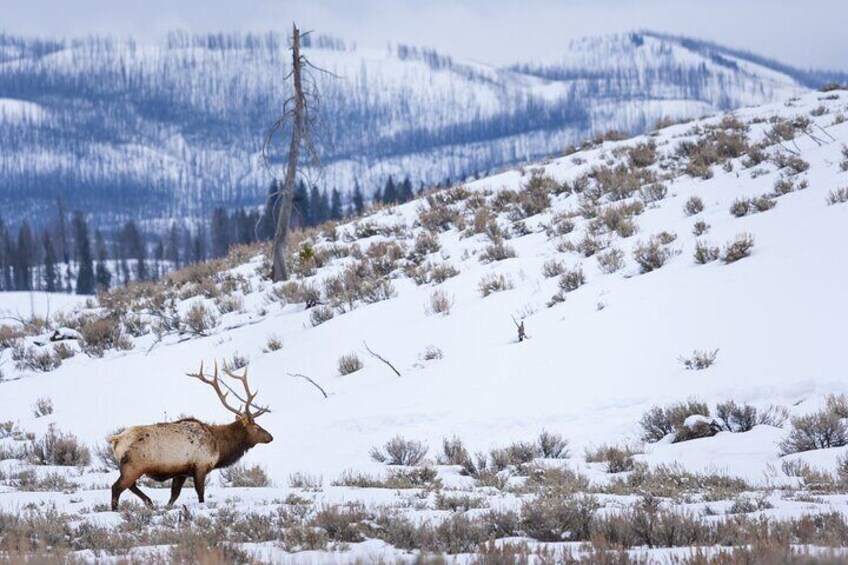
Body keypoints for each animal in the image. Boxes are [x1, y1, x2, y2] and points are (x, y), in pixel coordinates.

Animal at [109, 362, 274, 512]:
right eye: (256, 427)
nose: (271, 437)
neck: (220, 446)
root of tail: (116, 441)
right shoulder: (200, 466)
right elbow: (200, 493)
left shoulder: (181, 472)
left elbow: (174, 495)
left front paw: (167, 508)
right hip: (133, 466)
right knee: (117, 487)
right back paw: (119, 510)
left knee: (130, 486)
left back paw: (149, 503)